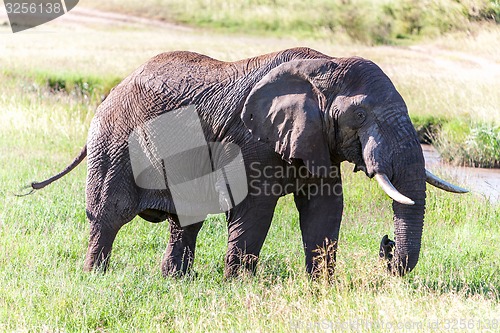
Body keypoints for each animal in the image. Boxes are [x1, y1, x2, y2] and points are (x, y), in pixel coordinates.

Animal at [30, 46, 468, 278]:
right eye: (359, 116)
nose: (386, 244)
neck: (326, 64)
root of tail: (110, 93)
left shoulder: (316, 140)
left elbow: (325, 208)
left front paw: (322, 289)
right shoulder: (250, 140)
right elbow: (255, 208)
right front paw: (238, 285)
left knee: (184, 221)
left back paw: (175, 281)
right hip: (115, 144)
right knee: (109, 215)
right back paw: (95, 276)